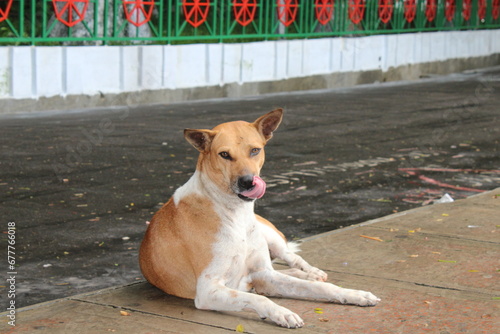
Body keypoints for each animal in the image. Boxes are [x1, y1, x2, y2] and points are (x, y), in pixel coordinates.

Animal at [139, 108, 380, 328]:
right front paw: (282, 313)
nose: (248, 182)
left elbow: (321, 288)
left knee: (292, 258)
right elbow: (258, 298)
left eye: (255, 150)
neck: (234, 213)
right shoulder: (209, 290)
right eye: (224, 154)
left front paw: (354, 294)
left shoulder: (263, 274)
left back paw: (312, 272)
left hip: (270, 236)